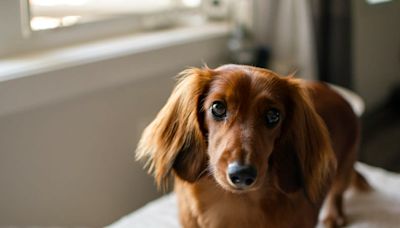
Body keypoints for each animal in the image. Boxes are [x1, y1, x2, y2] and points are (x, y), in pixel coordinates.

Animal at [137, 64, 368, 228]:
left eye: (273, 115)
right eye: (218, 107)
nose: (242, 174)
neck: (233, 204)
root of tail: (339, 95)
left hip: (344, 167)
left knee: (336, 193)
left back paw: (333, 215)